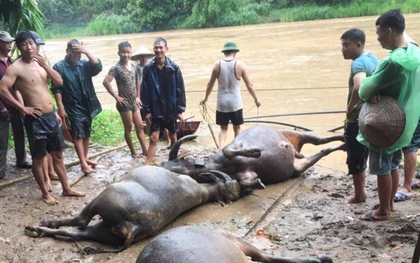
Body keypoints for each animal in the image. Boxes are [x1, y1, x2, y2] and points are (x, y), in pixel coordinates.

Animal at [24, 166, 244, 255]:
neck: (200, 191)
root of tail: (134, 227)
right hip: (102, 232)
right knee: (75, 231)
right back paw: (38, 231)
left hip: (102, 199)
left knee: (80, 220)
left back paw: (38, 226)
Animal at [162, 126, 344, 190]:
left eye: (175, 161)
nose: (163, 167)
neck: (219, 165)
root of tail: (294, 150)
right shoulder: (245, 175)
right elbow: (247, 181)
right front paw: (258, 183)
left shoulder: (236, 145)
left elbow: (228, 149)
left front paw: (255, 151)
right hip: (299, 166)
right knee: (324, 149)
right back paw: (343, 144)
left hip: (294, 133)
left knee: (320, 140)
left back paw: (342, 138)